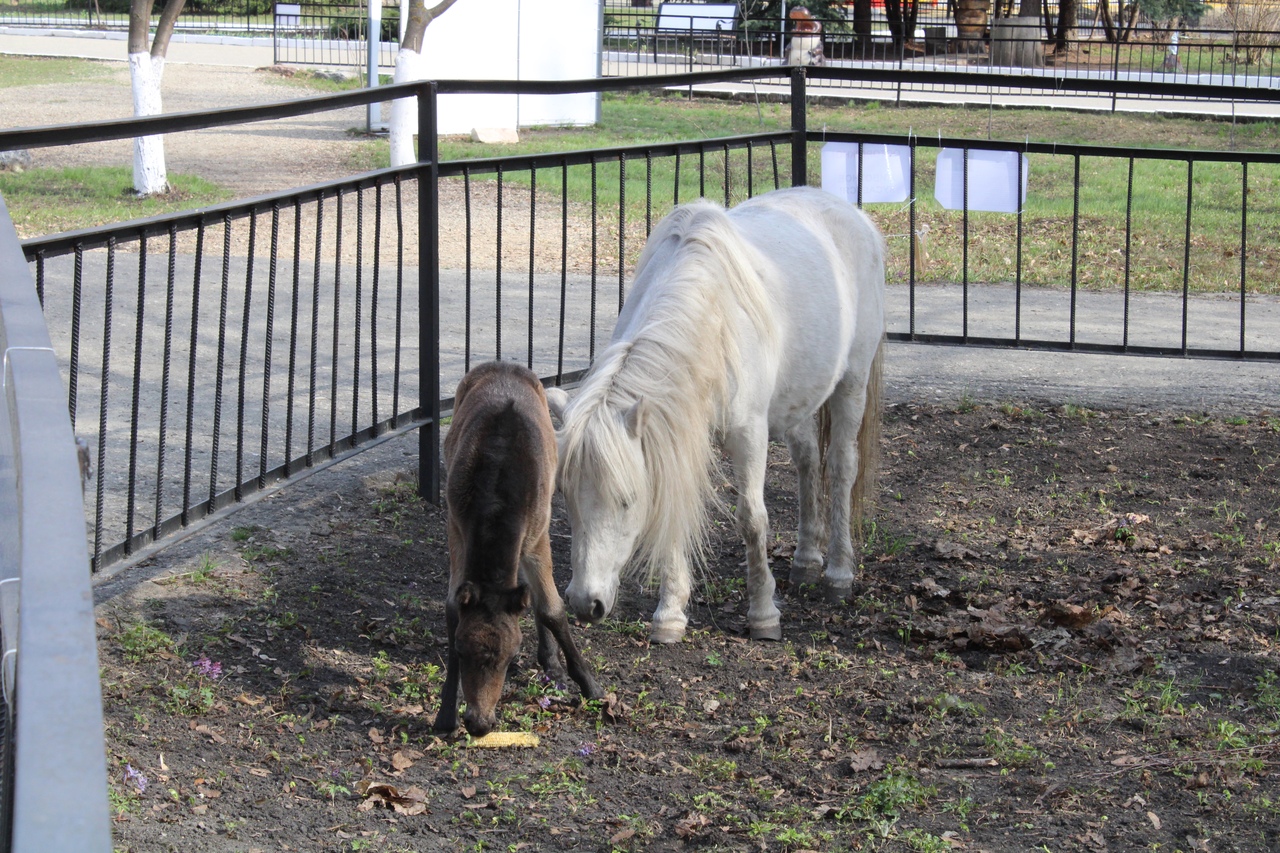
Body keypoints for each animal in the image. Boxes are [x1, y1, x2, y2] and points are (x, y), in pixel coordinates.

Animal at [435, 356, 604, 732]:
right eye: (461, 651)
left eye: (510, 653)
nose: (479, 723)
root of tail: (502, 363)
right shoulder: (455, 526)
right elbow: (453, 607)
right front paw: (445, 712)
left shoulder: (537, 533)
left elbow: (552, 608)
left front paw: (590, 685)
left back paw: (551, 662)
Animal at [545, 184, 885, 637]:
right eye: (565, 496)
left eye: (628, 500)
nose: (586, 604)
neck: (710, 314)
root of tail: (852, 214)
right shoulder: (678, 432)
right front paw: (670, 616)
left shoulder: (750, 433)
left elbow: (752, 519)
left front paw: (763, 615)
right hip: (798, 398)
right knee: (809, 462)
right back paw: (806, 561)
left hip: (852, 382)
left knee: (842, 466)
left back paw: (838, 575)